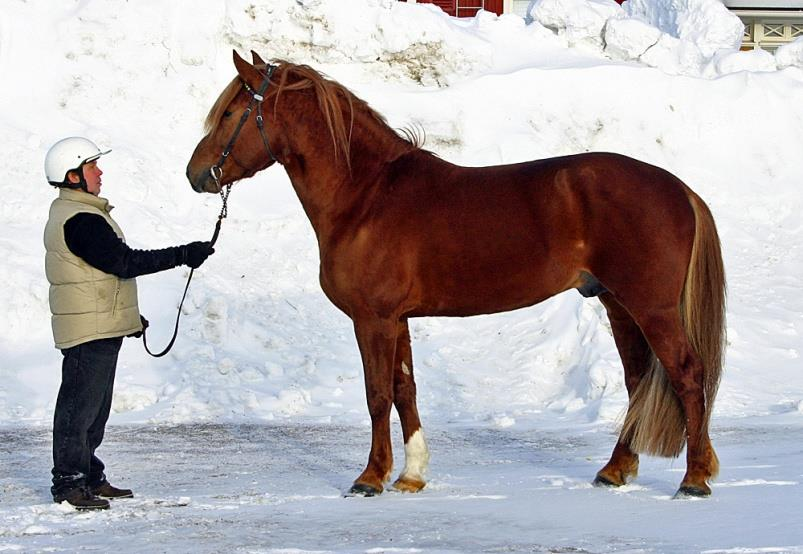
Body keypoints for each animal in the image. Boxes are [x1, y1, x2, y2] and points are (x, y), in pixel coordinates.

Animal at [188, 51, 728, 498]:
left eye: (231, 113)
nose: (196, 174)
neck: (366, 194)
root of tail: (679, 189)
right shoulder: (396, 319)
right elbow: (404, 392)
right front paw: (411, 475)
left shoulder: (372, 319)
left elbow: (377, 394)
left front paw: (370, 477)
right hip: (618, 305)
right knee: (638, 382)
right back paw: (615, 471)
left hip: (651, 308)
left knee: (687, 374)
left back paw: (694, 478)